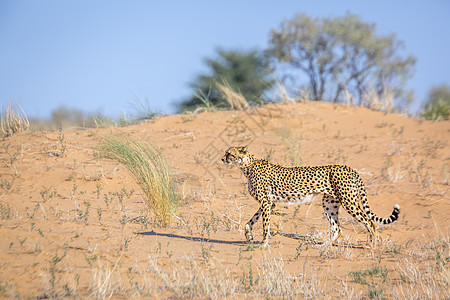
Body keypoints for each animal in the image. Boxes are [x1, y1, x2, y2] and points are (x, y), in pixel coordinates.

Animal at [221, 146, 400, 247]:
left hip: (349, 202)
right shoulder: (270, 203)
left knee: (370, 222)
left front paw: (263, 244)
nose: (222, 158)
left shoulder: (266, 202)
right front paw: (250, 238)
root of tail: (350, 168)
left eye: (229, 153)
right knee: (337, 228)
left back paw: (372, 246)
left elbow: (265, 226)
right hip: (329, 203)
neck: (246, 165)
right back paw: (323, 246)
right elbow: (249, 223)